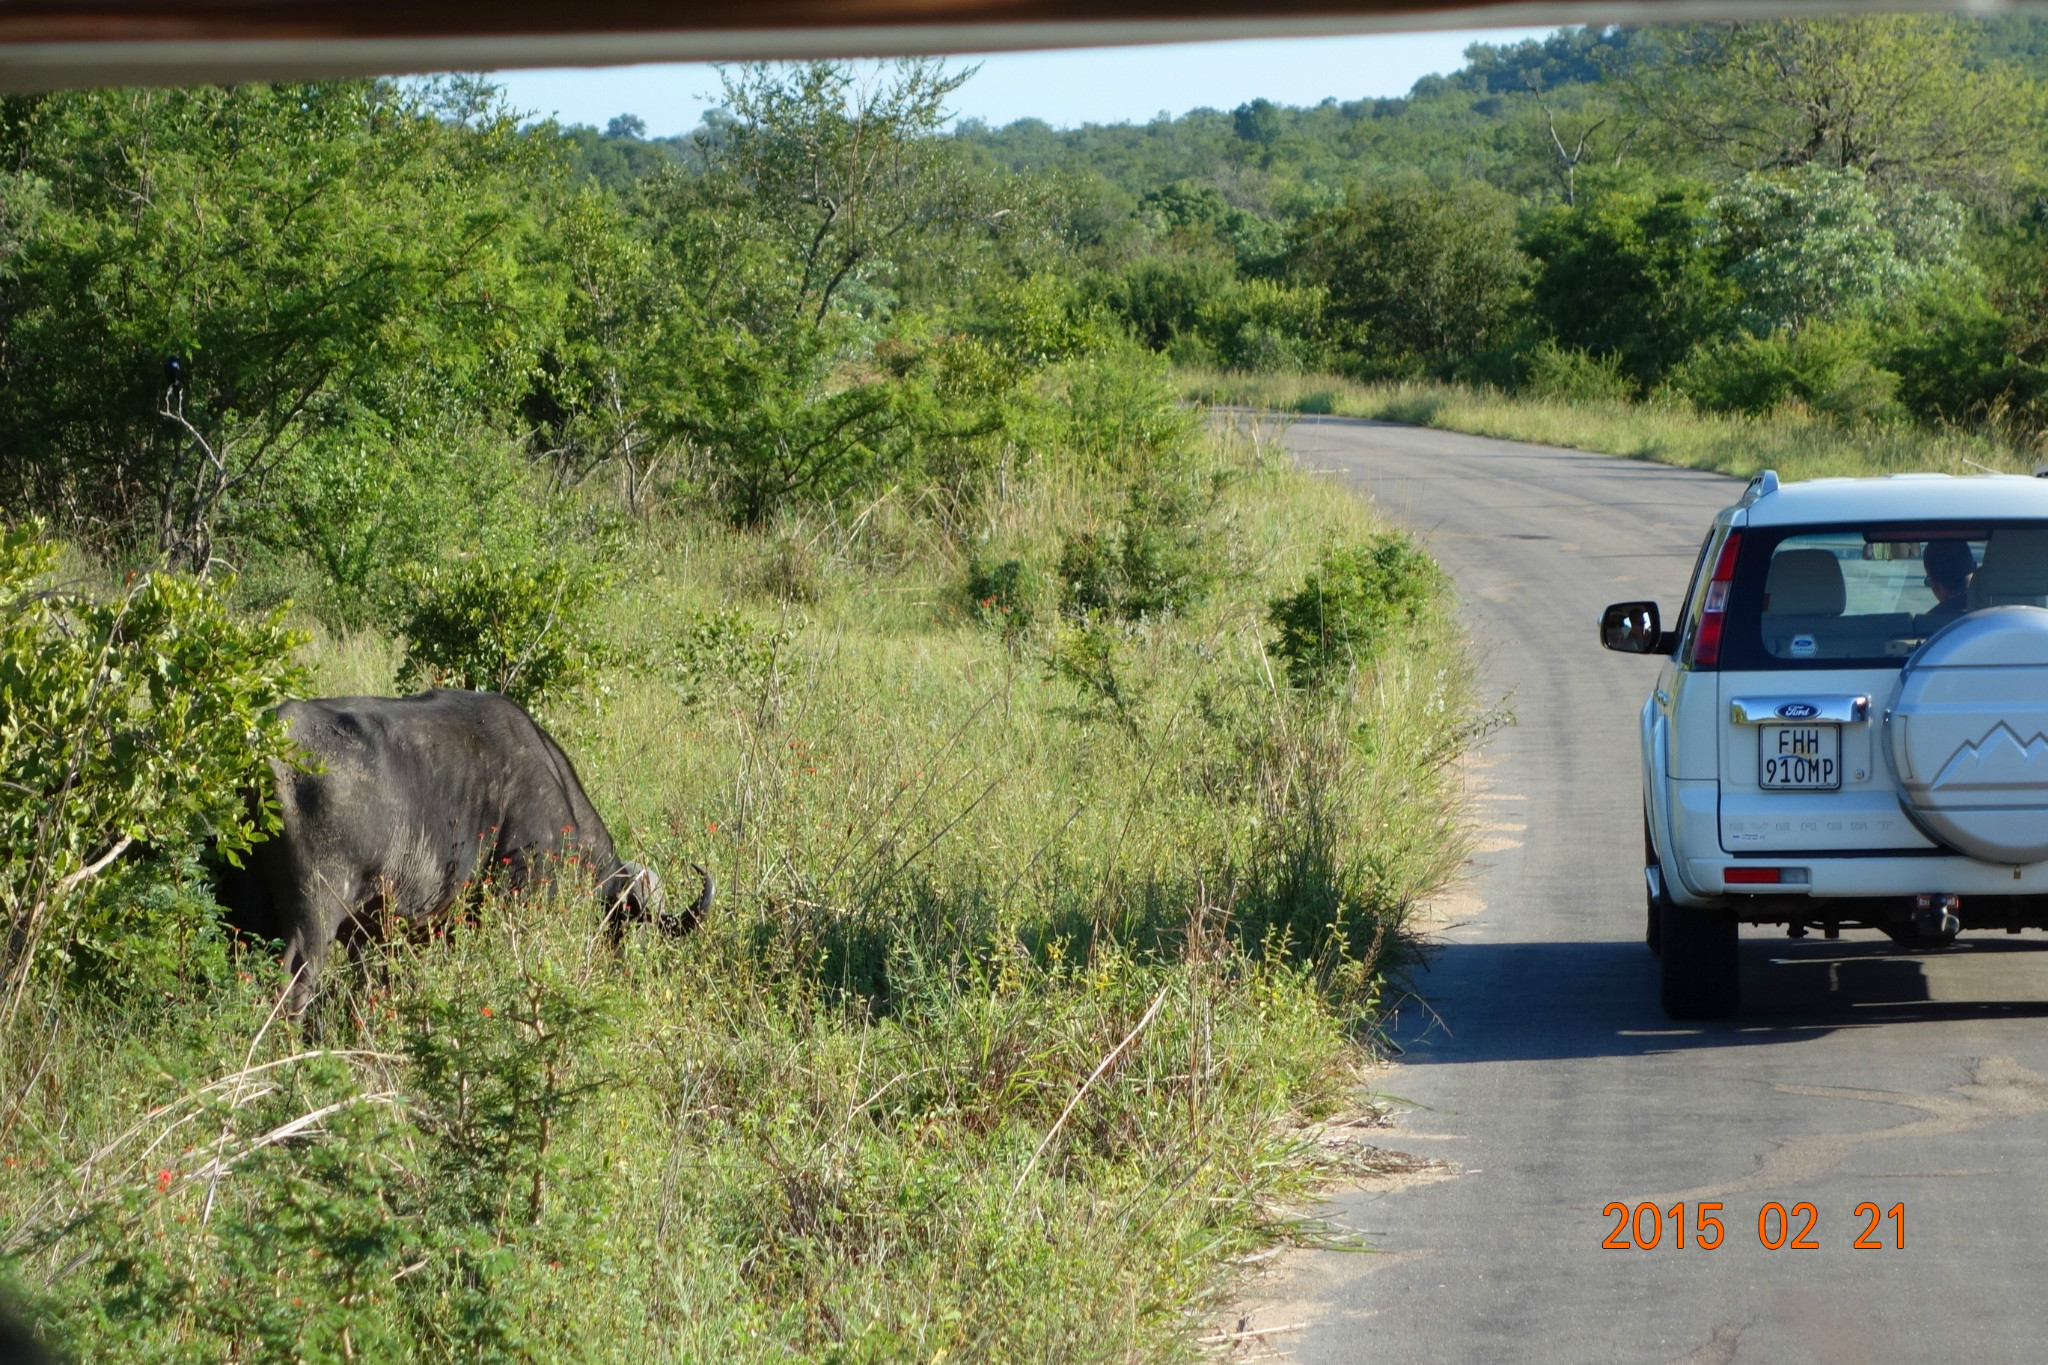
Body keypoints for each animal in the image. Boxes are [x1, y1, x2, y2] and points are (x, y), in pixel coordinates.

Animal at [217, 687, 708, 1010]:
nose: (622, 965)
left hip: (244, 917)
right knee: (293, 982)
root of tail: (261, 748)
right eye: (627, 924)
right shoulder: (518, 893)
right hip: (315, 914)